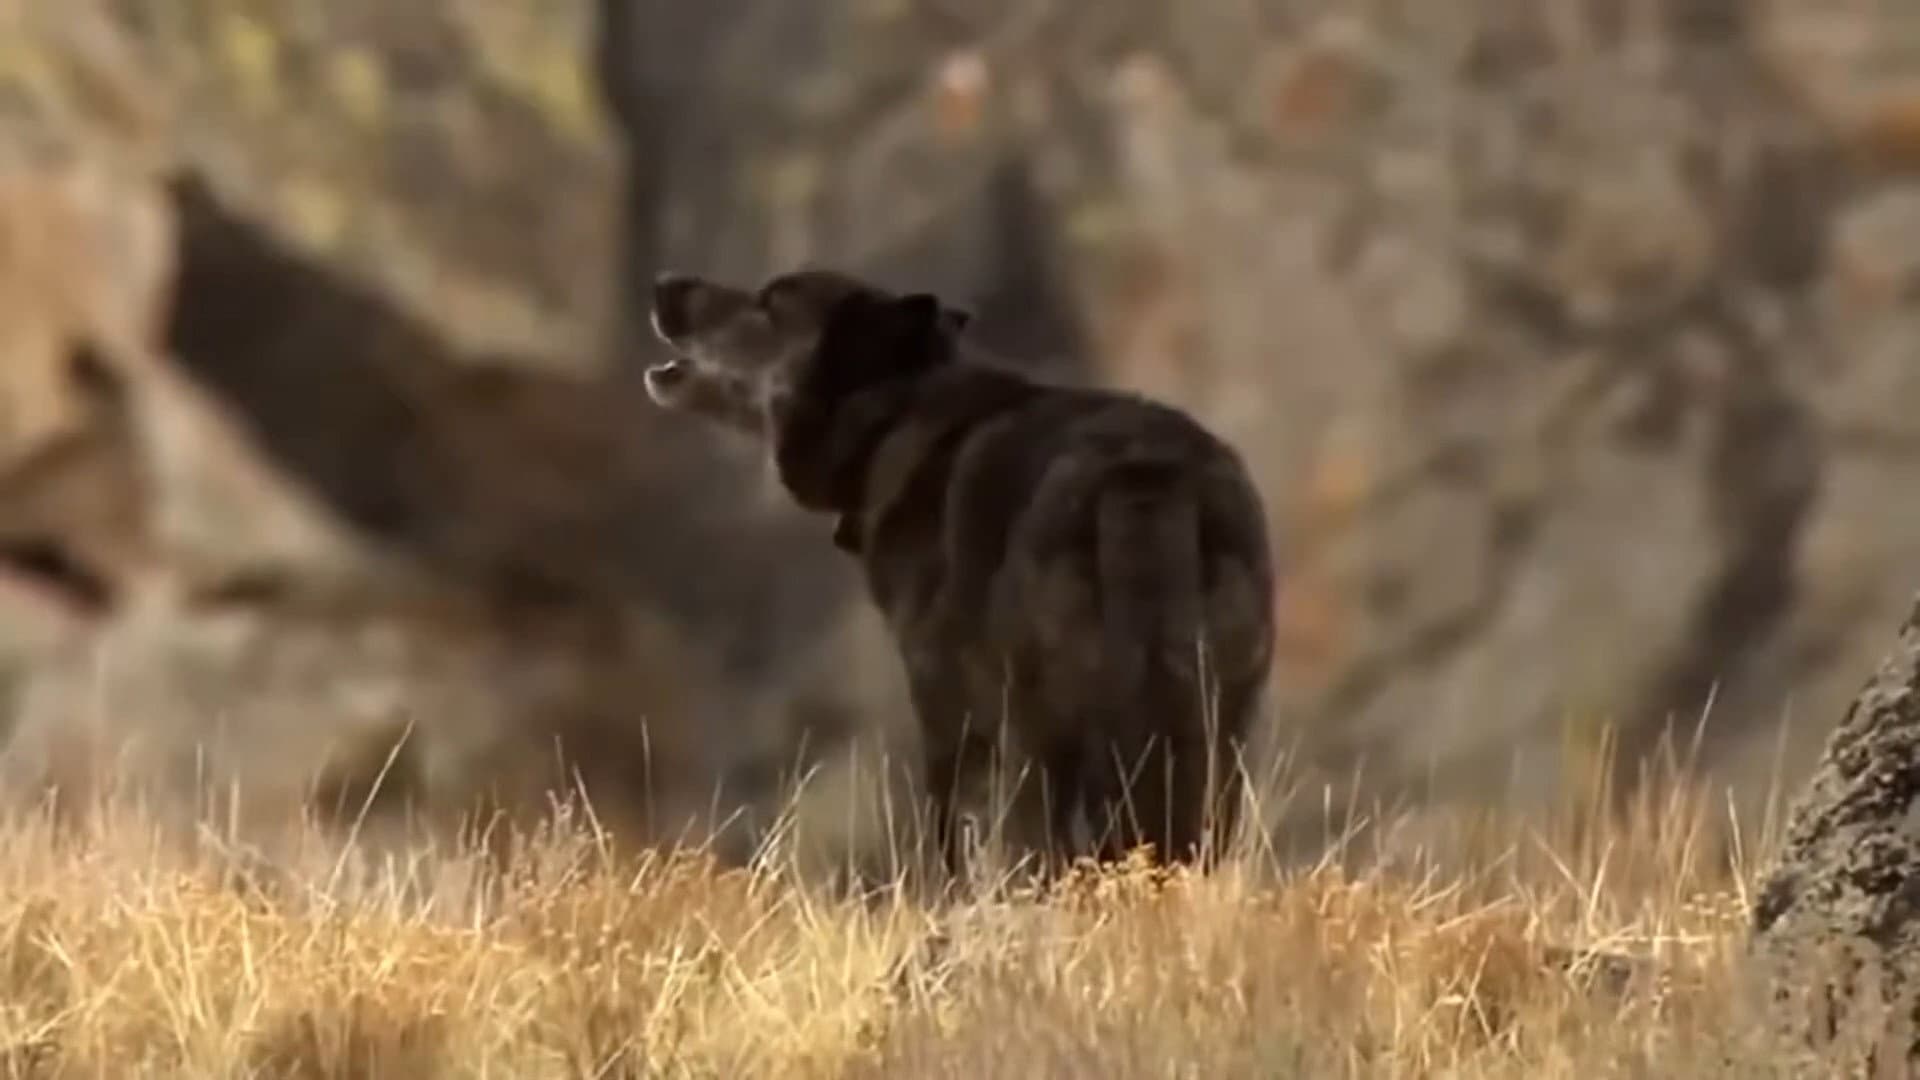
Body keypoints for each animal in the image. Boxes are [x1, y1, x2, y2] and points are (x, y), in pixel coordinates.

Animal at [644, 267, 1276, 875]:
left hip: (1042, 742)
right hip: (1215, 740)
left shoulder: (949, 718)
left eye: (770, 303)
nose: (664, 284)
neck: (894, 413)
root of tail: (1144, 476)